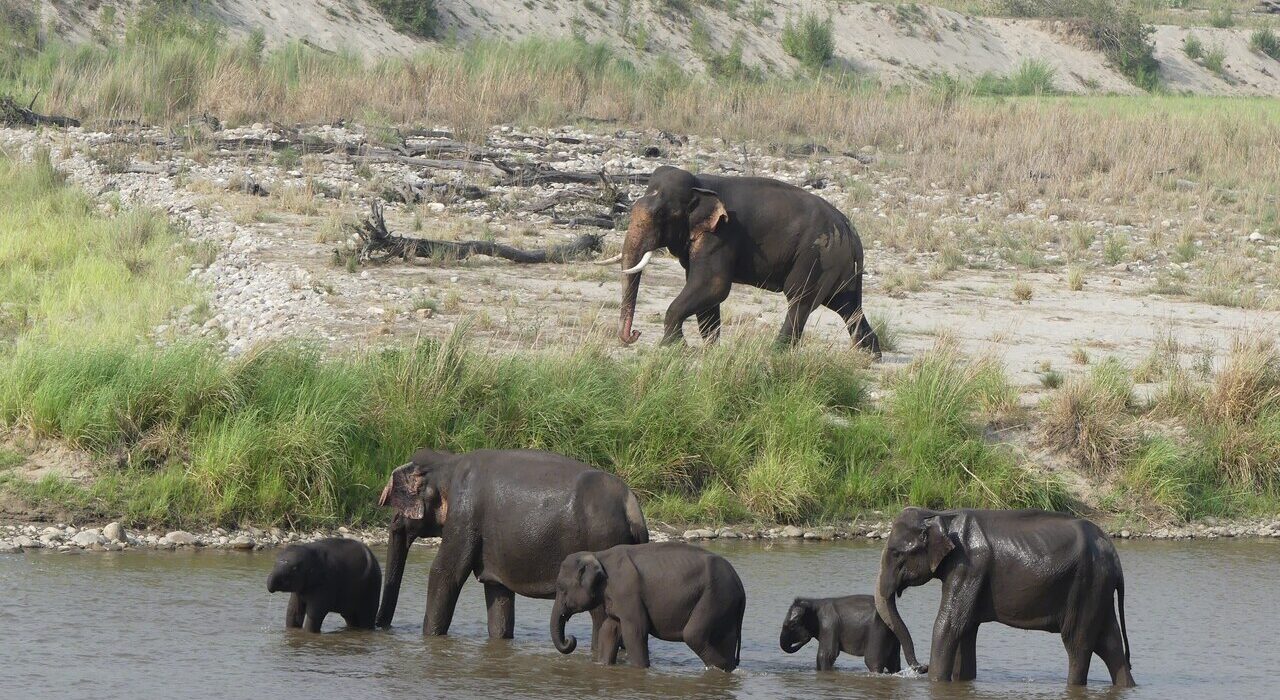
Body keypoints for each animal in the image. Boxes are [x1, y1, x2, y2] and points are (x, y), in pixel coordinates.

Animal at [376, 447, 649, 655]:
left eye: (398, 508)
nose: (381, 628)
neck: (447, 463)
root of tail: (632, 507)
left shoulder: (464, 516)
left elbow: (445, 573)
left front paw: (430, 639)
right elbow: (498, 593)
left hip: (603, 541)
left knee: (601, 617)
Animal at [550, 542, 746, 672]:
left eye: (561, 588)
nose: (570, 639)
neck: (598, 555)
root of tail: (740, 585)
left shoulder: (627, 592)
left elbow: (635, 631)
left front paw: (640, 670)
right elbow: (609, 629)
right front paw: (603, 665)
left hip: (716, 598)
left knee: (694, 635)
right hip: (727, 606)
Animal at [605, 165, 880, 355]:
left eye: (662, 214)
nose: (635, 334)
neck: (699, 184)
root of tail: (852, 233)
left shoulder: (723, 234)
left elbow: (713, 285)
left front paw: (673, 347)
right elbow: (706, 293)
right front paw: (711, 349)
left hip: (817, 257)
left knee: (800, 300)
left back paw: (776, 351)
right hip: (841, 266)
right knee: (847, 306)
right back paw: (869, 354)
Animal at [874, 507, 1135, 687]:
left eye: (896, 554)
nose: (921, 667)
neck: (941, 516)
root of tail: (1115, 557)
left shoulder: (968, 567)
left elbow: (948, 625)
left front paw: (936, 683)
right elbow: (966, 629)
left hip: (1087, 584)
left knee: (1078, 644)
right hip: (1098, 589)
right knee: (1109, 643)